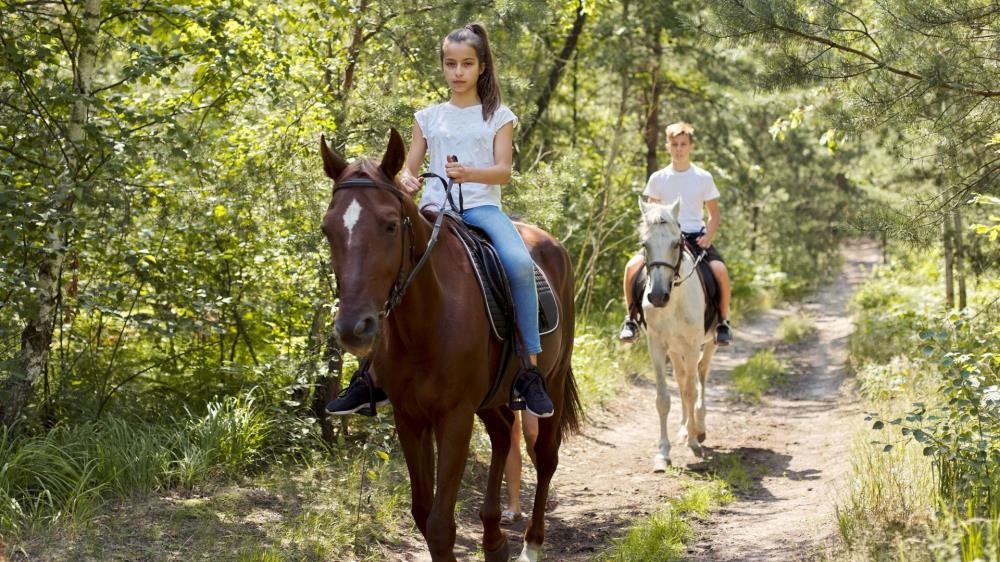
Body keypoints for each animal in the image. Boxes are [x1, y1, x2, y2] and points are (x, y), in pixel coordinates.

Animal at [319, 129, 580, 562]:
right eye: (328, 229)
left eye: (391, 225)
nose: (354, 327)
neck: (426, 321)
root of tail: (553, 244)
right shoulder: (410, 417)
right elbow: (423, 515)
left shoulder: (455, 416)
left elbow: (441, 525)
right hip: (491, 397)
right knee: (503, 434)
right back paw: (493, 539)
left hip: (554, 382)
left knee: (545, 456)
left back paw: (531, 544)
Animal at [638, 199, 718, 471]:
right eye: (645, 244)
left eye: (675, 243)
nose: (658, 296)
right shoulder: (657, 346)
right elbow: (664, 398)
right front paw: (663, 453)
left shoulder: (693, 345)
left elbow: (692, 390)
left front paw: (694, 441)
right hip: (675, 349)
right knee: (683, 380)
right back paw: (684, 429)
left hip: (709, 343)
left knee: (700, 373)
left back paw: (699, 427)